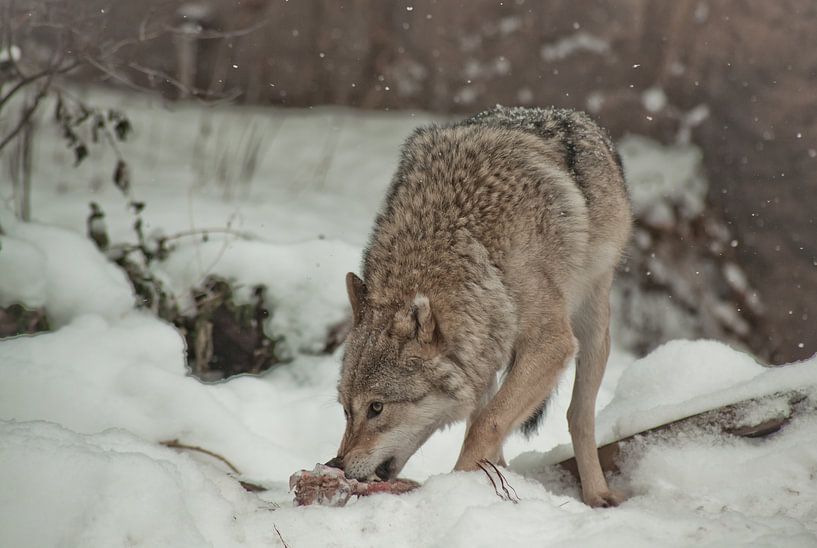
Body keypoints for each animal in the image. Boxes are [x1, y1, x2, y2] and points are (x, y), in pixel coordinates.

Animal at [330, 105, 632, 508]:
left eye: (376, 408)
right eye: (346, 409)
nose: (336, 466)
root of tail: (572, 114)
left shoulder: (551, 344)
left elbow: (486, 424)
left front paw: (456, 490)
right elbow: (483, 422)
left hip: (592, 323)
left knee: (578, 416)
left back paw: (597, 493)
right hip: (489, 349)